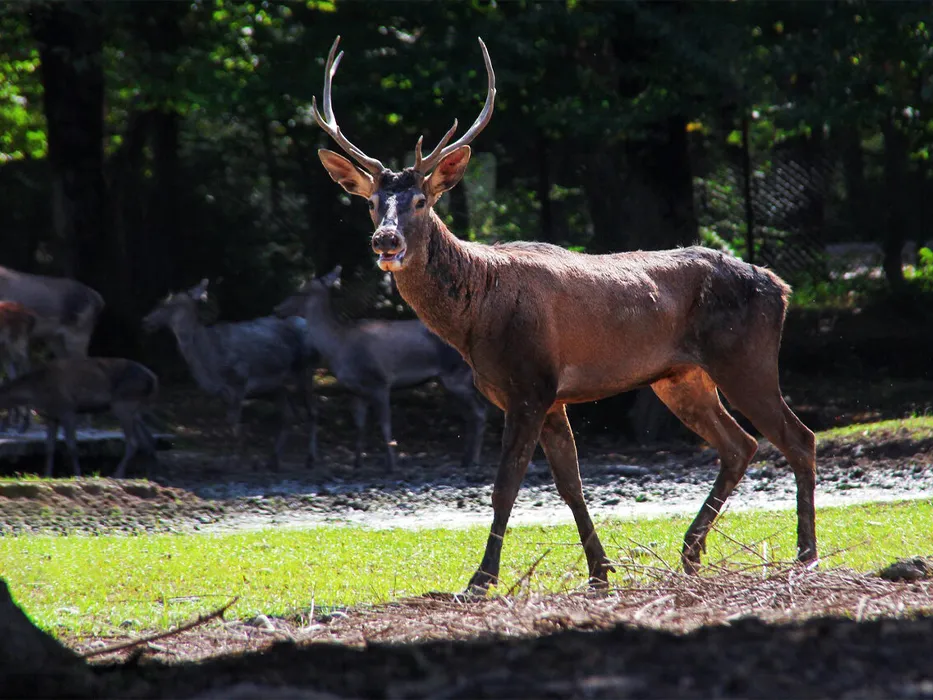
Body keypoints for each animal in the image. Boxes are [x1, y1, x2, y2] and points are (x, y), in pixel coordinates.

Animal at [0, 358, 157, 478]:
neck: (36, 392)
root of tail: (153, 379)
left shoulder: (67, 410)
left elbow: (72, 446)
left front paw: (77, 474)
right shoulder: (51, 416)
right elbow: (49, 447)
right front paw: (47, 474)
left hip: (123, 403)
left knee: (133, 442)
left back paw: (117, 474)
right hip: (135, 408)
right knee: (148, 440)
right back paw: (150, 474)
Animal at [141, 278, 316, 470]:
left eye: (169, 304)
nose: (146, 321)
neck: (210, 362)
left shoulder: (239, 381)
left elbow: (234, 422)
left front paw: (240, 459)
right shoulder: (223, 391)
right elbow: (228, 422)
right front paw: (234, 459)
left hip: (306, 369)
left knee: (311, 412)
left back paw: (310, 459)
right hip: (278, 385)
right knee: (289, 415)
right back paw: (274, 459)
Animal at [272, 266, 484, 474]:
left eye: (301, 291)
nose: (277, 309)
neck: (339, 347)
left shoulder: (380, 382)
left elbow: (385, 425)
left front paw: (391, 466)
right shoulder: (356, 390)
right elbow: (359, 425)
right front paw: (357, 464)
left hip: (456, 376)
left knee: (480, 411)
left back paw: (473, 460)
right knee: (471, 415)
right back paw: (465, 459)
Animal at [308, 32, 816, 592]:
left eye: (421, 200)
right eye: (372, 202)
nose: (386, 241)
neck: (475, 319)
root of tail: (781, 286)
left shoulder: (531, 384)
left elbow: (506, 485)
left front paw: (482, 579)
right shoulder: (550, 397)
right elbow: (570, 485)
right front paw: (600, 572)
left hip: (745, 357)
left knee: (798, 437)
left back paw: (805, 555)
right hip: (681, 376)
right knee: (740, 444)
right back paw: (690, 554)